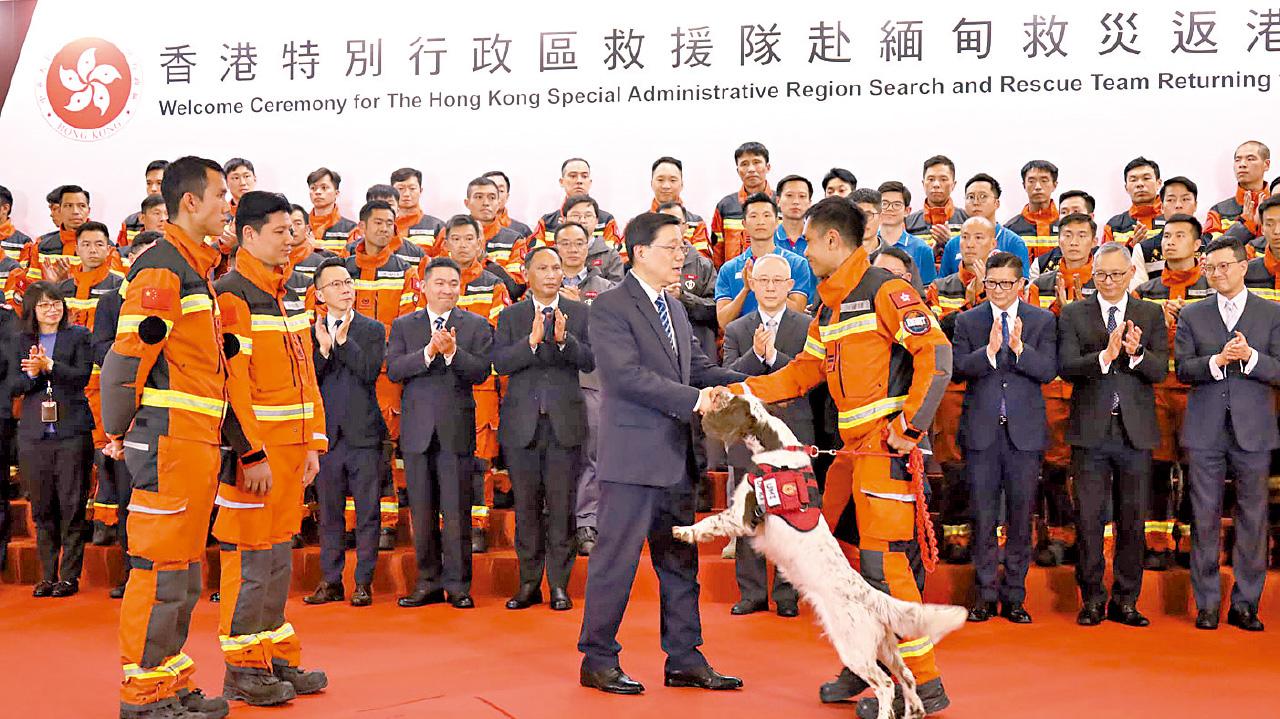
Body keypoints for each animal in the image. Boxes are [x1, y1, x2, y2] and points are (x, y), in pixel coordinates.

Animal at [673, 392, 967, 719]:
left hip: (854, 646)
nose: (716, 392)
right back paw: (915, 710)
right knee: (906, 675)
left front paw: (683, 531)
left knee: (885, 684)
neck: (776, 449)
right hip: (885, 646)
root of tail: (872, 596)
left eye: (728, 401)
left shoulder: (742, 516)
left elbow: (709, 523)